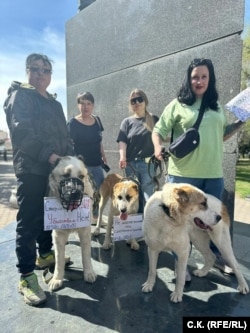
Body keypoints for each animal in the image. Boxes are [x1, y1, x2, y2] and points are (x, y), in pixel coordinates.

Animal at [47, 154, 97, 290]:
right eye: (65, 175)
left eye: (81, 176)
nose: (75, 193)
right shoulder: (58, 235)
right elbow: (59, 260)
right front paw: (57, 279)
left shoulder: (85, 231)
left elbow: (86, 255)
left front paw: (89, 273)